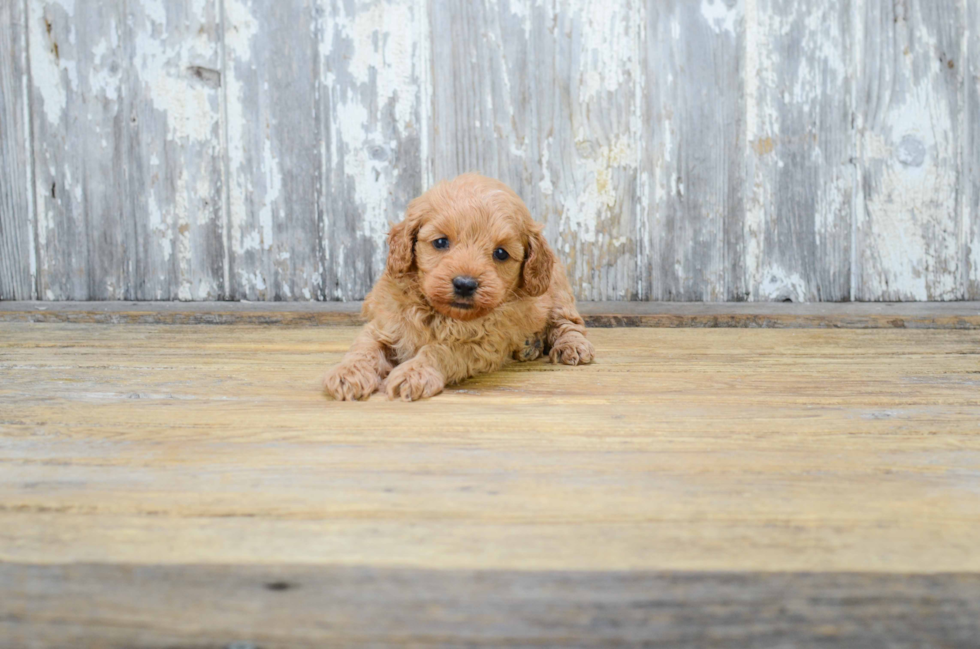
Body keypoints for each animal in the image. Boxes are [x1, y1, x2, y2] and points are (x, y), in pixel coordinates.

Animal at [326, 171, 592, 400]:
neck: (441, 315)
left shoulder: (480, 345)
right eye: (441, 242)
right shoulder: (384, 324)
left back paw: (571, 346)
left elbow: (439, 351)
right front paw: (348, 372)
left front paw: (413, 372)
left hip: (557, 292)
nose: (465, 284)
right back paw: (530, 346)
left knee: (569, 324)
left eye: (501, 253)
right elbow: (365, 347)